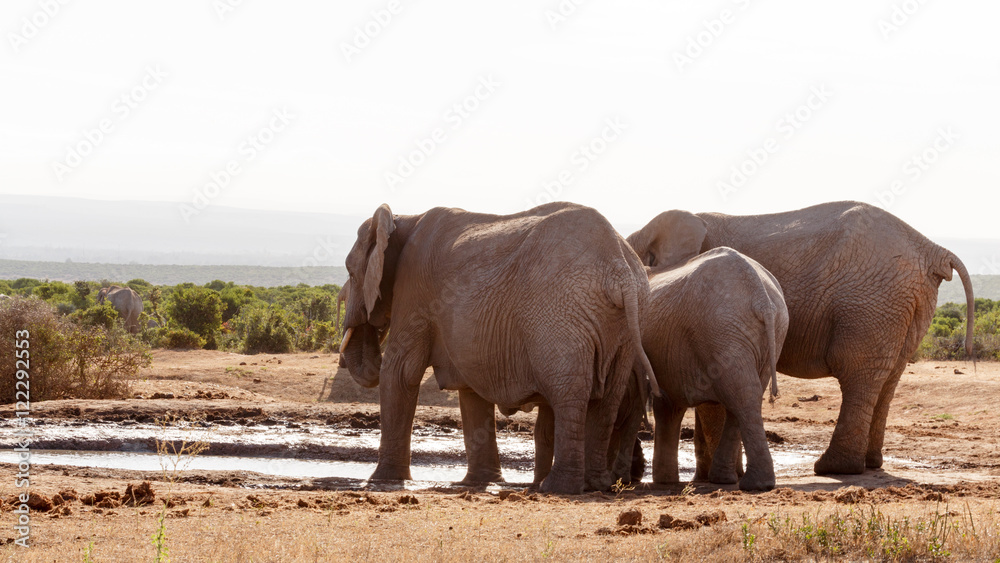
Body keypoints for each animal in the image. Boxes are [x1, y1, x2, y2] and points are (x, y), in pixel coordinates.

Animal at [339, 202, 655, 494]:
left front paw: (381, 481)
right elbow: (470, 390)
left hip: (560, 315)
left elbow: (401, 371)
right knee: (607, 399)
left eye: (350, 272)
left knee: (568, 393)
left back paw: (557, 487)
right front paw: (480, 482)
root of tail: (619, 266)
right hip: (623, 329)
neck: (403, 219)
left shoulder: (414, 290)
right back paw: (596, 485)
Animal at [626, 201, 975, 476]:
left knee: (858, 373)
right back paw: (870, 464)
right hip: (908, 304)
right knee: (888, 378)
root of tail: (931, 249)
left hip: (872, 302)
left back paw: (834, 468)